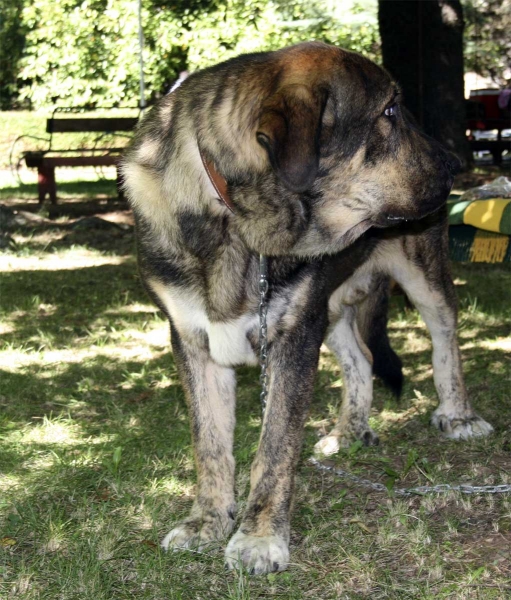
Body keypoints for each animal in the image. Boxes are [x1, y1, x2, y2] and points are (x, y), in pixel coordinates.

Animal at [122, 39, 494, 576]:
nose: (452, 165)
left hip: (422, 276)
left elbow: (275, 447)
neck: (238, 220)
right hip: (331, 306)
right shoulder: (194, 341)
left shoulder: (294, 336)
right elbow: (209, 443)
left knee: (446, 342)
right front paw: (208, 521)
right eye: (389, 111)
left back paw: (458, 415)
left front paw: (258, 537)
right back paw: (349, 430)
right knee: (360, 359)